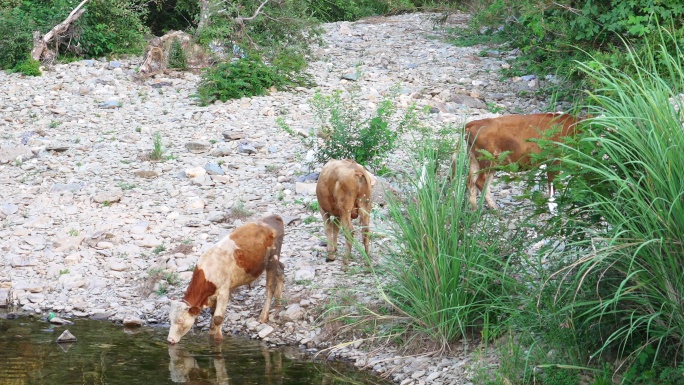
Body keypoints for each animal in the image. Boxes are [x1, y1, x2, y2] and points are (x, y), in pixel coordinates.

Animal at [167, 214, 284, 344]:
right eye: (170, 319)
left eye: (180, 320)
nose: (170, 339)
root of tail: (273, 216)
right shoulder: (212, 297)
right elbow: (213, 314)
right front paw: (211, 333)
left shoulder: (224, 291)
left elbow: (218, 318)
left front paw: (218, 338)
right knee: (281, 269)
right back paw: (278, 304)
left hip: (273, 257)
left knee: (270, 288)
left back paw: (263, 316)